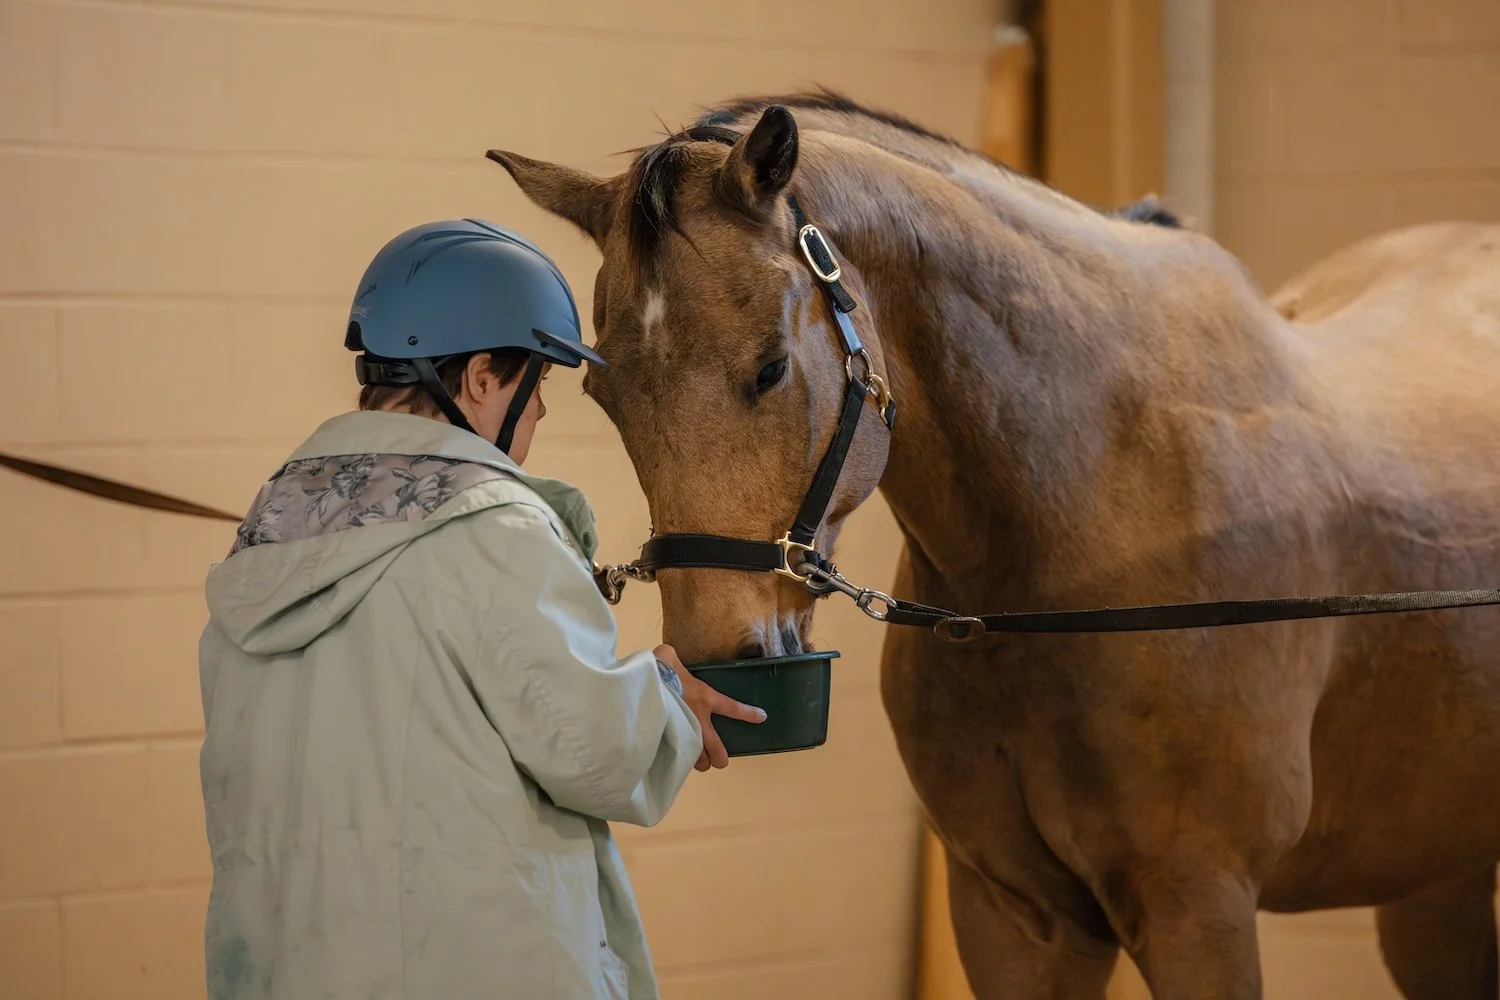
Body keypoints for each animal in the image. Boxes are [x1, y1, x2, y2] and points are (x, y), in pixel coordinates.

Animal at [488, 90, 1500, 999]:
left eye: (770, 368)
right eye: (606, 396)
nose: (720, 658)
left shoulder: (1197, 903)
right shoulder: (1015, 916)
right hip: (1435, 883)